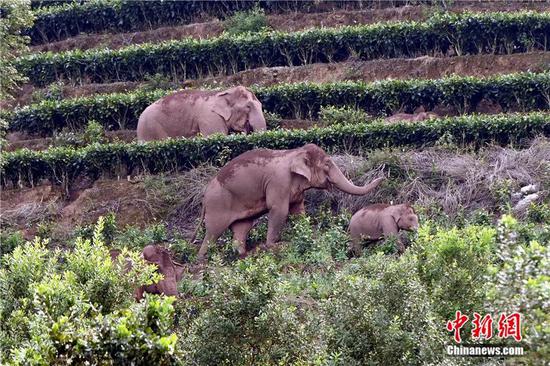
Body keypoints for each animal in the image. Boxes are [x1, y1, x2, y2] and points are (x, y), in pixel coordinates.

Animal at [192, 143, 386, 260]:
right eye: (327, 165)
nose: (383, 176)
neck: (295, 151)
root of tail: (205, 194)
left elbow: (298, 212)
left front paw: (308, 236)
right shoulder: (278, 182)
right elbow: (279, 210)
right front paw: (272, 246)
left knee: (242, 227)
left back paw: (241, 255)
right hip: (218, 204)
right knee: (213, 232)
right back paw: (202, 259)